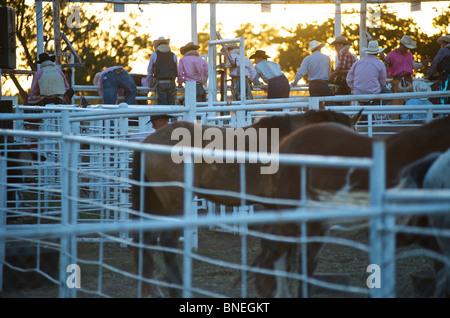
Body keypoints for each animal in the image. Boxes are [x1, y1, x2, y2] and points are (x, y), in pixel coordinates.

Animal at [130, 110, 362, 298]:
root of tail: (149, 141)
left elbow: (274, 246)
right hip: (176, 203)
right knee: (167, 242)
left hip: (157, 204)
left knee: (147, 241)